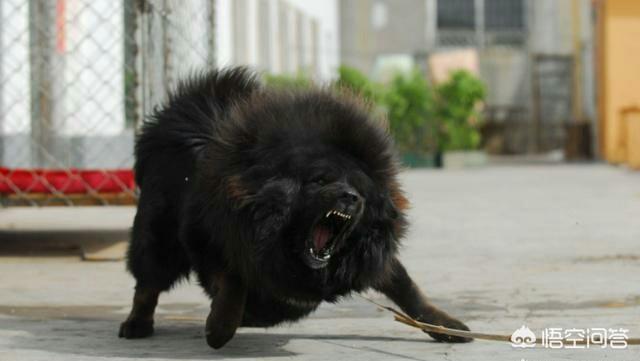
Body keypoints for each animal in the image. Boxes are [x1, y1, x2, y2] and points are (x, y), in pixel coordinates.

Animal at [120, 67, 470, 346]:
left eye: (360, 190)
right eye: (319, 181)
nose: (350, 197)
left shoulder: (371, 258)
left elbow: (409, 290)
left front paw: (445, 325)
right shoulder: (214, 239)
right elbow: (234, 281)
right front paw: (219, 328)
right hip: (158, 242)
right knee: (147, 285)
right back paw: (137, 324)